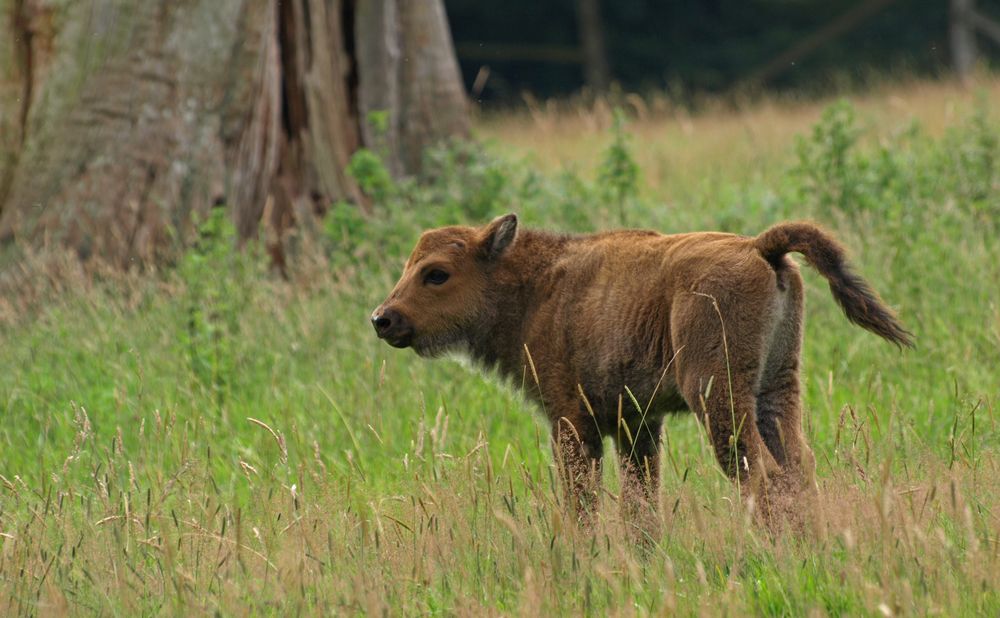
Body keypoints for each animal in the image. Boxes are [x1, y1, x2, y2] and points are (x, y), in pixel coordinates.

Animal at [372, 215, 912, 524]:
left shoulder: (572, 421)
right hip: (776, 390)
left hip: (718, 397)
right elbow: (640, 508)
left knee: (763, 474)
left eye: (437, 273)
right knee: (799, 469)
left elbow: (583, 503)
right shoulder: (637, 426)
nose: (383, 318)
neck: (537, 287)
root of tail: (760, 246)